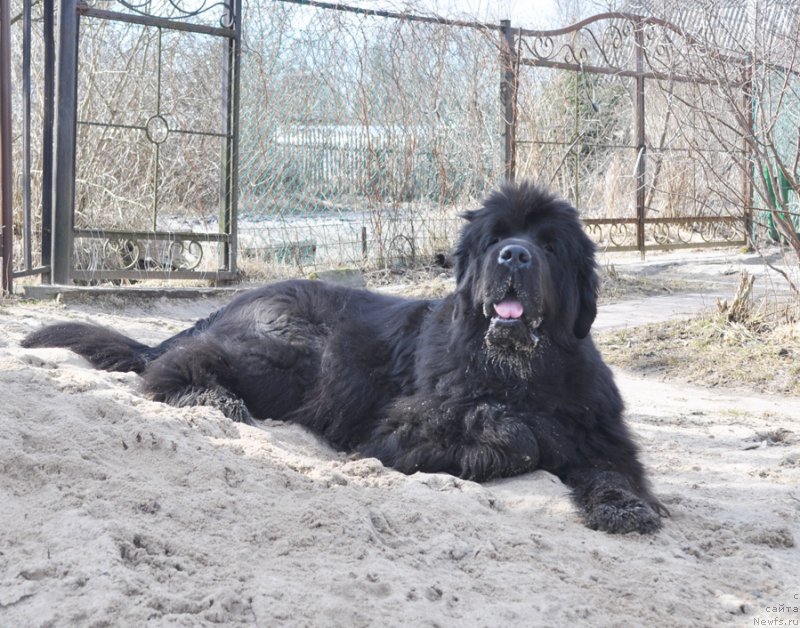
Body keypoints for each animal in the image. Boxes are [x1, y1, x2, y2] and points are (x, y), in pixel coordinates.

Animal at [23, 182, 664, 536]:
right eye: (494, 238)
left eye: (549, 245)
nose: (514, 255)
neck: (523, 374)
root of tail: (232, 301)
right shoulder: (401, 428)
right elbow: (517, 433)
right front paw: (517, 439)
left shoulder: (603, 435)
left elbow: (613, 470)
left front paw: (626, 508)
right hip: (303, 353)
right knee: (173, 362)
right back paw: (210, 396)